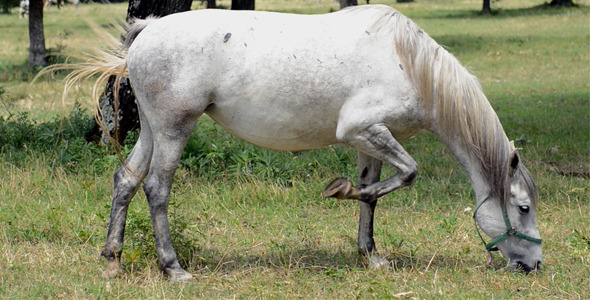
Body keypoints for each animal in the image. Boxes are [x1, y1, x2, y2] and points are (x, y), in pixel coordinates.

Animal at [57, 4, 544, 282]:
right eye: (522, 208)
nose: (535, 266)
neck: (409, 63)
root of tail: (148, 31)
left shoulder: (370, 142)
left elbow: (373, 197)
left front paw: (370, 256)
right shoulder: (363, 131)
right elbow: (407, 174)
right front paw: (339, 190)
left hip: (153, 130)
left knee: (125, 181)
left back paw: (112, 260)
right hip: (175, 128)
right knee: (157, 188)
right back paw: (173, 268)